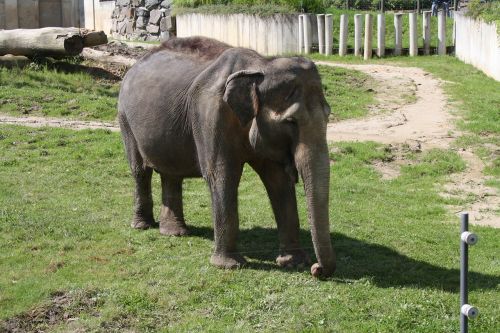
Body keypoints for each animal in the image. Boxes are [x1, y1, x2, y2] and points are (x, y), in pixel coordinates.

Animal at [117, 35, 336, 278]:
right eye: (291, 121)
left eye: (328, 116)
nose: (316, 269)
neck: (260, 66)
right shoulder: (210, 115)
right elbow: (222, 177)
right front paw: (229, 265)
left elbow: (277, 180)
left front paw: (293, 262)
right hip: (125, 118)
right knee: (140, 171)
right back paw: (142, 225)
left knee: (171, 174)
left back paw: (174, 232)